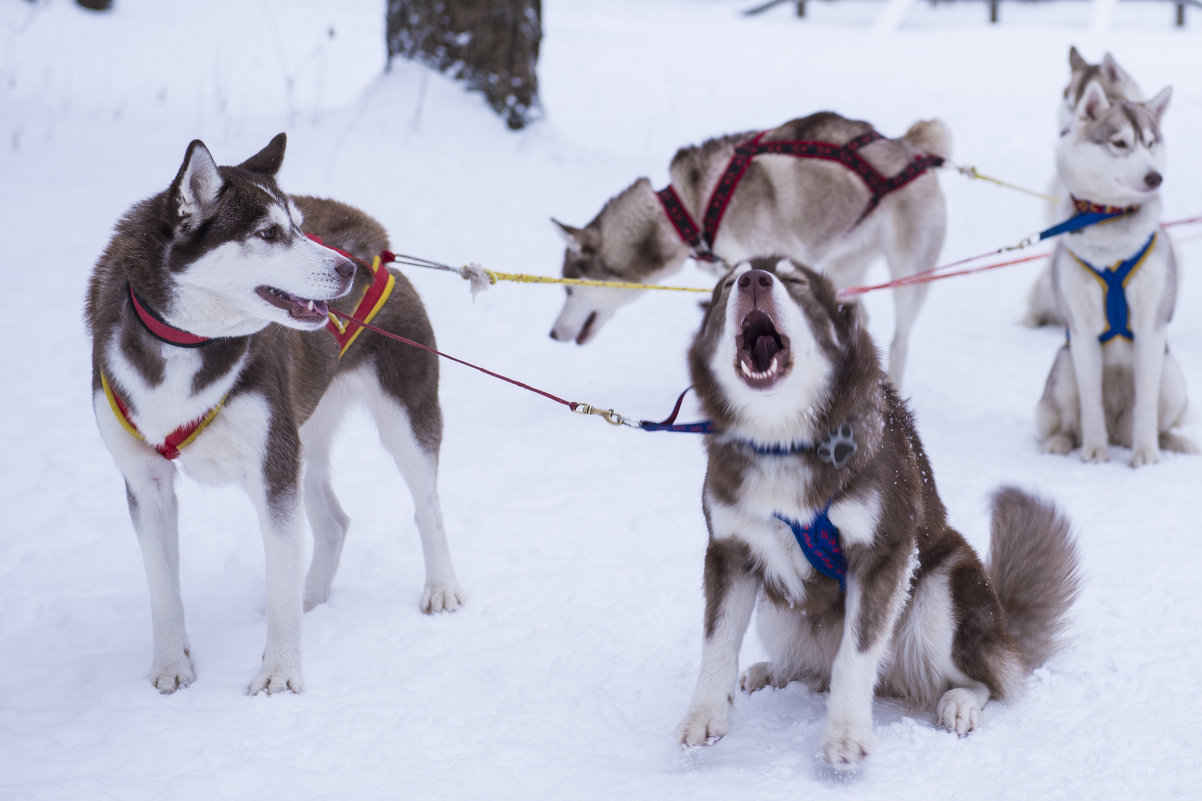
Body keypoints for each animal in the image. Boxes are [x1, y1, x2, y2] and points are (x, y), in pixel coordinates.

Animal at [85, 134, 463, 687]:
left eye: (299, 228)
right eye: (268, 232)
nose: (346, 270)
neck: (184, 343)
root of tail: (375, 247)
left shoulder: (272, 471)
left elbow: (277, 581)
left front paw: (281, 675)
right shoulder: (146, 481)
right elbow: (163, 591)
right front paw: (171, 666)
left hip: (404, 421)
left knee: (428, 505)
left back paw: (441, 587)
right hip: (305, 436)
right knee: (334, 523)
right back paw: (313, 594)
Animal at [545, 112, 947, 384]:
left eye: (569, 290)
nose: (551, 334)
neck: (689, 210)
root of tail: (910, 147)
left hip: (910, 275)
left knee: (900, 339)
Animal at [677, 258, 1081, 764]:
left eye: (795, 281)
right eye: (730, 283)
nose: (754, 281)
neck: (782, 442)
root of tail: (1004, 631)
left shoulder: (884, 552)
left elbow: (856, 654)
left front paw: (846, 734)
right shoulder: (729, 549)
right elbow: (716, 642)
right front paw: (703, 716)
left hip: (942, 590)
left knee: (988, 678)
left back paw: (961, 701)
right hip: (778, 612)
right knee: (812, 668)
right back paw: (774, 671)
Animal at [1033, 81, 1192, 464]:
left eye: (1150, 142)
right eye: (1120, 143)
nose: (1155, 177)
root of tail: (1120, 430)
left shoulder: (1151, 329)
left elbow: (1147, 404)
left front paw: (1146, 454)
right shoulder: (1082, 333)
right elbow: (1091, 405)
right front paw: (1094, 450)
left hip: (1172, 377)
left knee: (1160, 422)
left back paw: (1172, 443)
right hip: (1063, 368)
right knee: (1070, 422)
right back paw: (1062, 442)